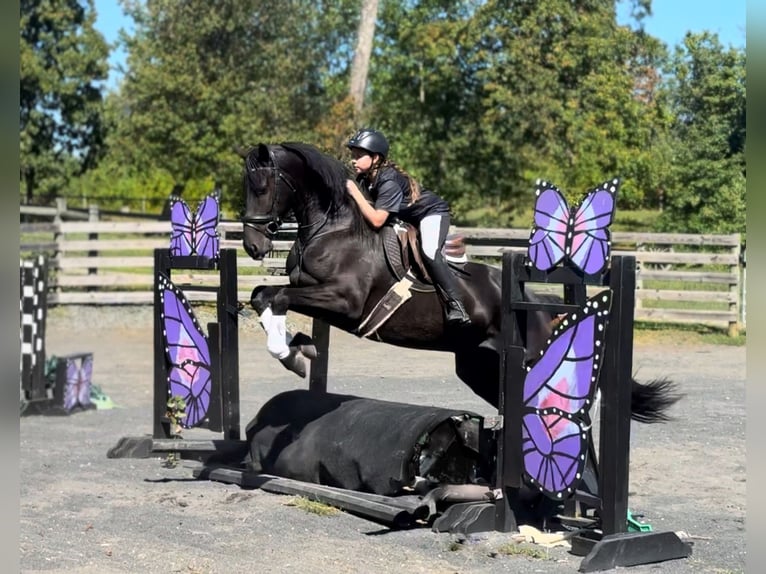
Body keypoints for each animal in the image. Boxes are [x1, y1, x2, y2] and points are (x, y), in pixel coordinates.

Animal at [239, 142, 678, 423]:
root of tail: (542, 306)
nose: (253, 245)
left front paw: (289, 353)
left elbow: (278, 296)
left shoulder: (343, 302)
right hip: (479, 366)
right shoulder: (319, 298)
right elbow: (264, 295)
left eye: (263, 186)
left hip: (529, 359)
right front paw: (299, 349)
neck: (332, 227)